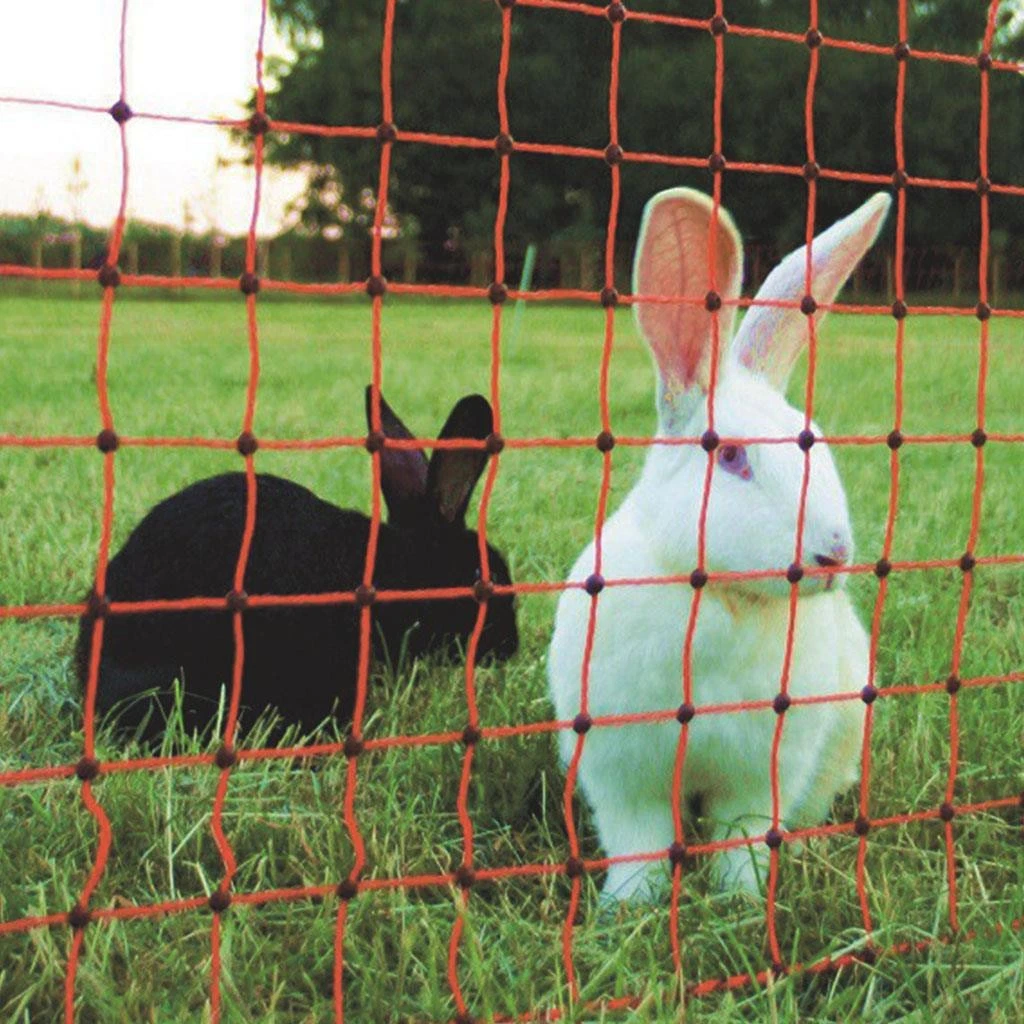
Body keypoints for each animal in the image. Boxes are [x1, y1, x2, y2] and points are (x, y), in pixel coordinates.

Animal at [548, 188, 891, 899]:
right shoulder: (623, 775)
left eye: (817, 437)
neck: (725, 598)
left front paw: (741, 901)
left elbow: (744, 839)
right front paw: (628, 908)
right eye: (731, 457)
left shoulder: (762, 774)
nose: (834, 553)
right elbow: (639, 844)